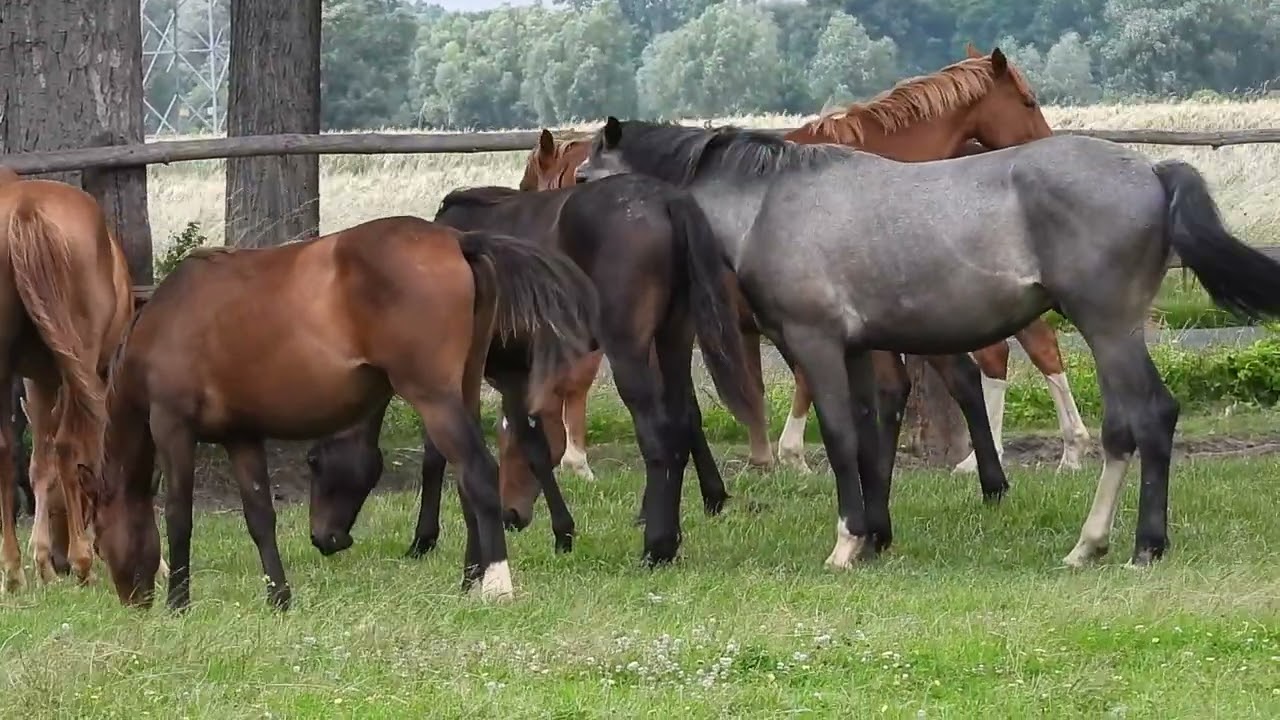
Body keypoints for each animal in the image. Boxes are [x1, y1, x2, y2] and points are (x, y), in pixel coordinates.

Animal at [90, 216, 598, 610]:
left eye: (97, 538)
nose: (133, 600)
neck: (165, 321)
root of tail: (458, 240)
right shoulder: (242, 436)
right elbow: (259, 517)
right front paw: (279, 598)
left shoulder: (173, 427)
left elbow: (179, 515)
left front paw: (179, 603)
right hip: (464, 391)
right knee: (465, 480)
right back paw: (469, 580)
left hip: (434, 398)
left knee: (477, 472)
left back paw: (494, 583)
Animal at [574, 116, 1280, 571]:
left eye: (582, 177)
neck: (769, 204)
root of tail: (1152, 171)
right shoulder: (858, 351)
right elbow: (866, 438)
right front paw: (873, 538)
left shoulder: (816, 343)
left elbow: (839, 438)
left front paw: (846, 543)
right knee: (1137, 425)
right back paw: (1112, 544)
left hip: (1107, 328)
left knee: (1143, 422)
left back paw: (1125, 545)